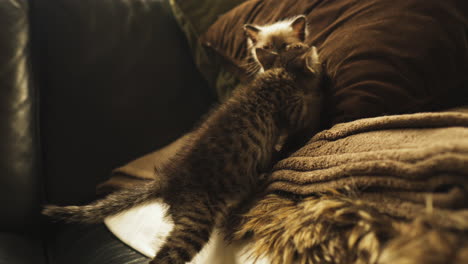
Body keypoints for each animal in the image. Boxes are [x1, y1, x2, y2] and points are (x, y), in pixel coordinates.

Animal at [43, 43, 322, 262]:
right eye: (298, 45)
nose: (310, 45)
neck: (278, 71)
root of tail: (167, 180)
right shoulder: (291, 107)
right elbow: (308, 113)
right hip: (197, 218)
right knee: (166, 256)